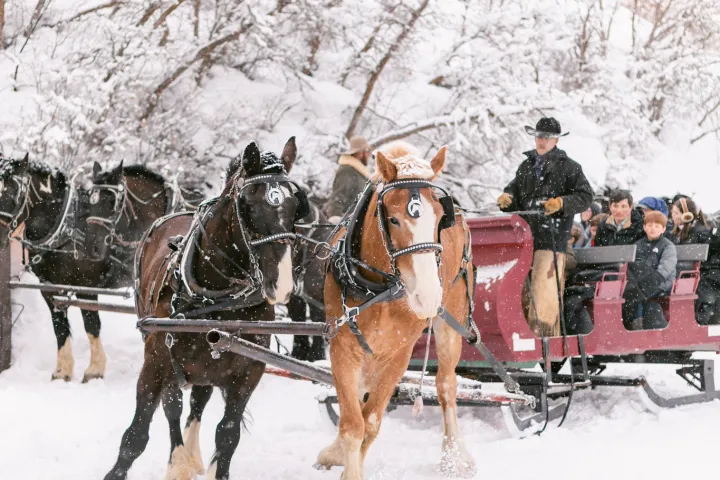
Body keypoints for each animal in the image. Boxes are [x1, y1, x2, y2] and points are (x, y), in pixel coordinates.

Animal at [104, 137, 309, 480]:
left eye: (296, 206)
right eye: (249, 205)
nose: (281, 284)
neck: (218, 299)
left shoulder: (249, 371)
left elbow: (228, 435)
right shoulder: (155, 364)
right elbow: (136, 436)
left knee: (199, 400)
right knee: (173, 405)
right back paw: (179, 460)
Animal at [314, 142, 476, 479]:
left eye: (440, 219)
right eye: (394, 220)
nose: (427, 296)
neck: (379, 287)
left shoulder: (399, 354)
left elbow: (371, 423)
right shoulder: (342, 345)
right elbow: (352, 424)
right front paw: (342, 457)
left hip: (451, 319)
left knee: (446, 385)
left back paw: (454, 455)